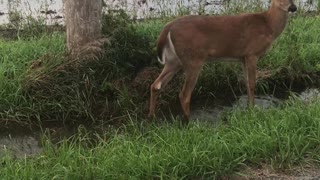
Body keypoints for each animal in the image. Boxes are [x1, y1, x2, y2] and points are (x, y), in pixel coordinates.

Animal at [149, 0, 296, 122]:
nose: (293, 7)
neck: (268, 25)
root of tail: (168, 28)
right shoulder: (252, 54)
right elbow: (252, 84)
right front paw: (252, 111)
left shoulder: (243, 57)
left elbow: (247, 83)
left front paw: (249, 108)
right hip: (193, 59)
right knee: (184, 94)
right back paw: (190, 122)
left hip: (174, 61)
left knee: (156, 85)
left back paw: (152, 117)